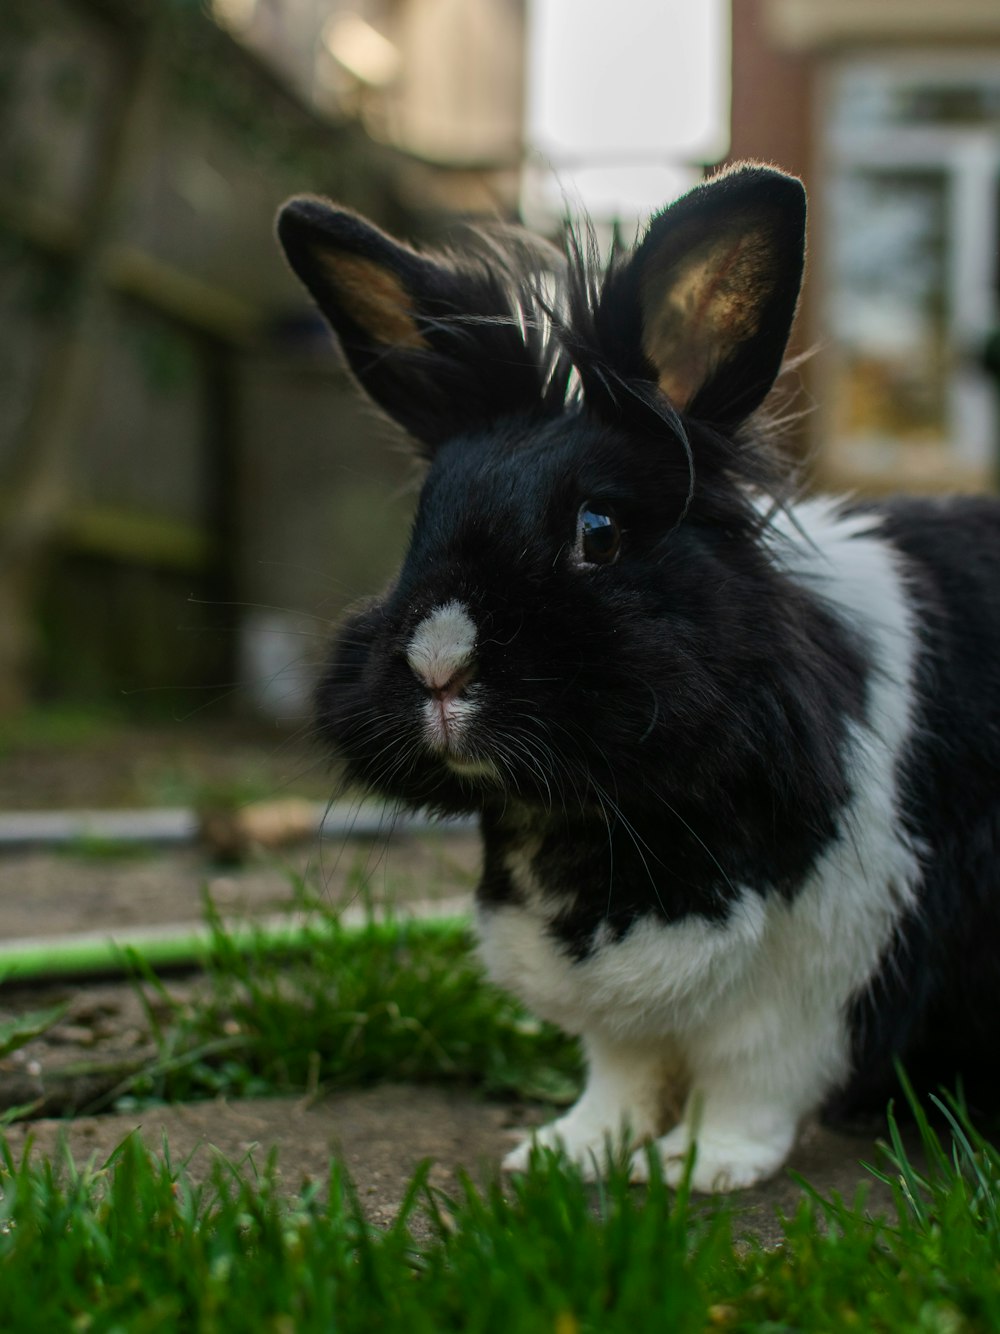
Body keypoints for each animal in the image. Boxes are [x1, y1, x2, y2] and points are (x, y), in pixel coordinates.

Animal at [278, 161, 1000, 1195]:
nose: (437, 664)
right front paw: (564, 1153)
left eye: (600, 531)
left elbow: (750, 1085)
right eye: (422, 524)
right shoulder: (618, 999)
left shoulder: (810, 979)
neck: (586, 821)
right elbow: (619, 1068)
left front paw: (695, 1169)